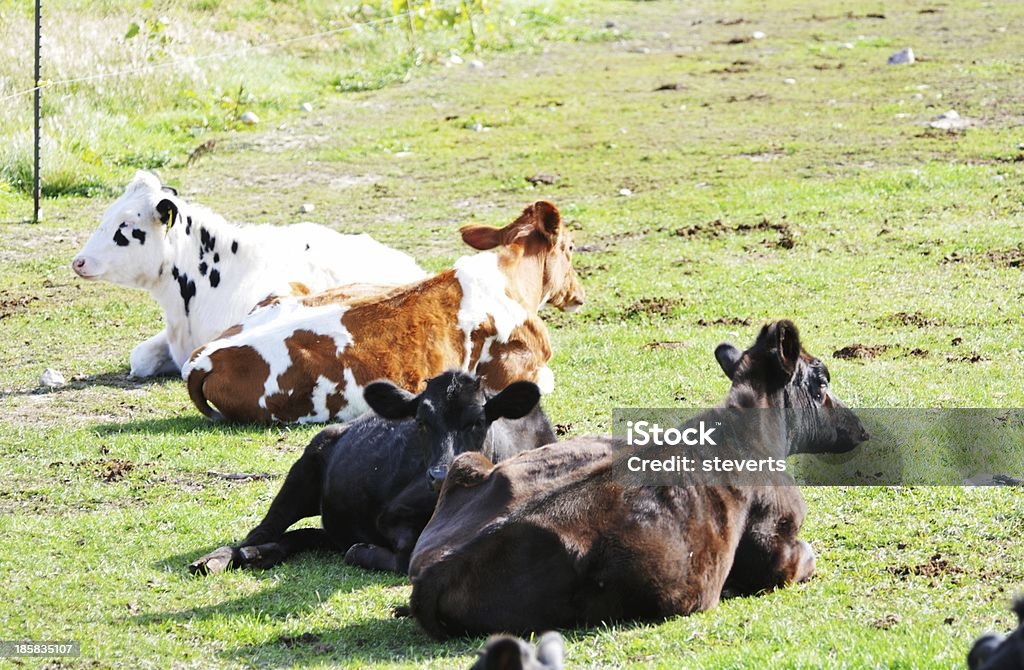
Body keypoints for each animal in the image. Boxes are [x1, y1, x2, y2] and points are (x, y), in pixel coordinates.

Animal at [186, 370, 552, 573]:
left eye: (477, 422)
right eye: (420, 422)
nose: (439, 475)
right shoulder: (392, 514)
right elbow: (406, 555)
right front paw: (365, 552)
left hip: (333, 521)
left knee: (306, 535)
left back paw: (261, 554)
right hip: (301, 476)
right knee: (263, 529)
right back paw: (222, 558)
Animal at [403, 323, 868, 639]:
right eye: (821, 381)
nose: (860, 428)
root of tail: (436, 571)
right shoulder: (777, 550)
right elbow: (805, 557)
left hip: (469, 462)